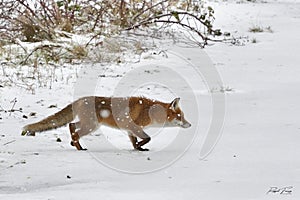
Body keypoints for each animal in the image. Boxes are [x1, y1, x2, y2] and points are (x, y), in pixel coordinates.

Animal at [21, 96, 191, 151]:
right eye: (181, 116)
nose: (190, 125)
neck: (149, 111)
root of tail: (79, 100)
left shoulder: (130, 129)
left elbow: (135, 142)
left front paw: (138, 149)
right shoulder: (133, 126)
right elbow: (147, 138)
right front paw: (140, 146)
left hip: (89, 124)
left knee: (72, 126)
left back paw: (73, 143)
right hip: (90, 126)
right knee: (75, 131)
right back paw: (79, 148)